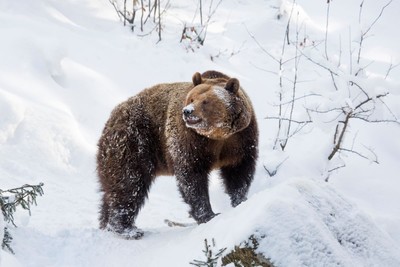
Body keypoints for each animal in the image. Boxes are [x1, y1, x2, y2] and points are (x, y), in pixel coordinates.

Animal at [97, 70, 260, 240]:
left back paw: (107, 223)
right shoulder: (191, 141)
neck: (216, 136)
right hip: (134, 142)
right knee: (129, 183)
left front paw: (240, 200)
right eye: (192, 98)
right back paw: (127, 229)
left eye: (206, 101)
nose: (188, 111)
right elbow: (192, 178)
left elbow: (239, 172)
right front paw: (208, 214)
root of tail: (112, 117)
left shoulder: (240, 140)